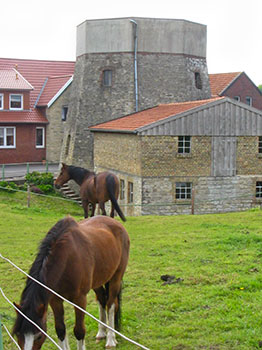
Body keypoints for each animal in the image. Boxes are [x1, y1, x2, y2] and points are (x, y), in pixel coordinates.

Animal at [13, 215, 130, 348]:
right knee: (102, 299)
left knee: (111, 304)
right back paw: (101, 333)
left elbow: (79, 331)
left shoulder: (80, 300)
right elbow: (60, 329)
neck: (66, 259)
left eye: (39, 336)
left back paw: (110, 339)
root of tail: (117, 224)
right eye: (18, 334)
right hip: (97, 281)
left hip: (116, 278)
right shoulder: (55, 300)